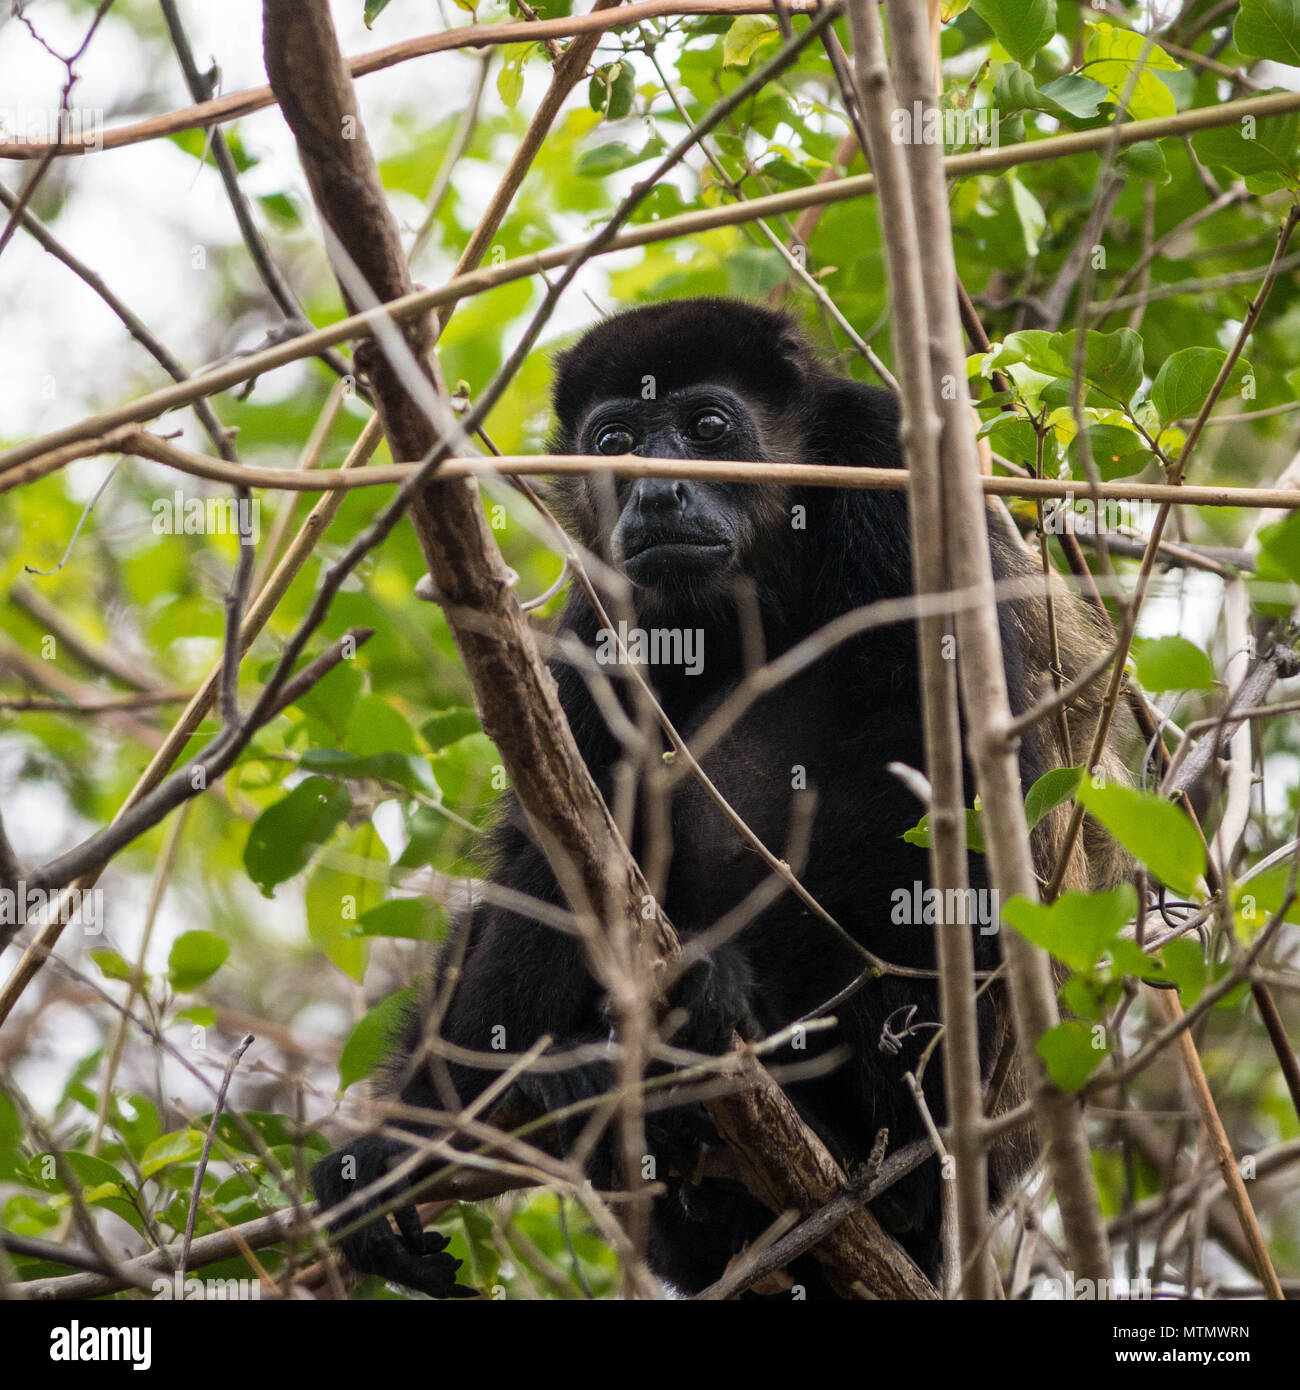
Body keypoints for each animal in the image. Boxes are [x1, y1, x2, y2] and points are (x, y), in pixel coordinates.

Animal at [312, 298, 1128, 1295]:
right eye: (615, 442)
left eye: (707, 427)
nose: (656, 492)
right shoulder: (601, 601)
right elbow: (557, 833)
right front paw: (413, 1138)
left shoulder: (886, 471)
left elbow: (935, 772)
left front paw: (726, 997)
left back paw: (851, 1143)